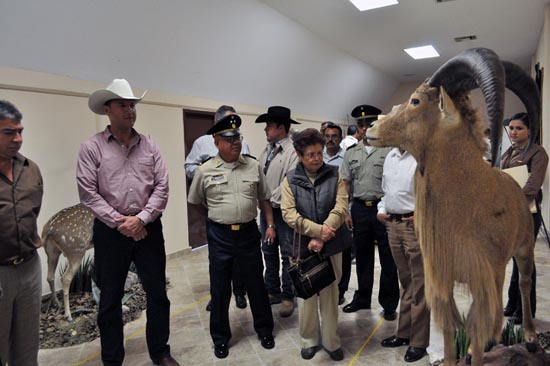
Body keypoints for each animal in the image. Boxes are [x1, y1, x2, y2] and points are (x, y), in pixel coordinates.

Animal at [366, 48, 540, 366]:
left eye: (415, 100)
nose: (371, 127)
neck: (465, 205)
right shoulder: (444, 279)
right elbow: (449, 334)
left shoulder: (481, 276)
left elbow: (476, 330)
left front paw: (476, 353)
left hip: (523, 250)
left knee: (523, 283)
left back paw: (531, 338)